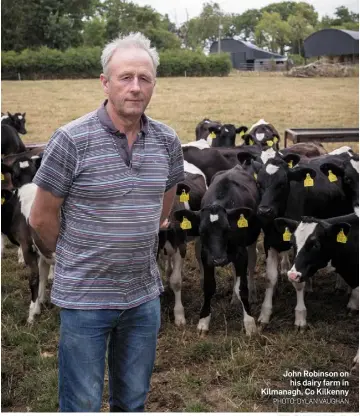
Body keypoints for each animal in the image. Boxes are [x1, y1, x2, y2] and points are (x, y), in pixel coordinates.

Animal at [174, 164, 260, 336]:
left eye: (227, 230)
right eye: (202, 232)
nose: (219, 260)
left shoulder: (241, 253)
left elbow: (242, 288)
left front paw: (249, 323)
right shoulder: (206, 256)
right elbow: (209, 286)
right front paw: (203, 321)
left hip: (252, 242)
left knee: (252, 264)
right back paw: (234, 299)